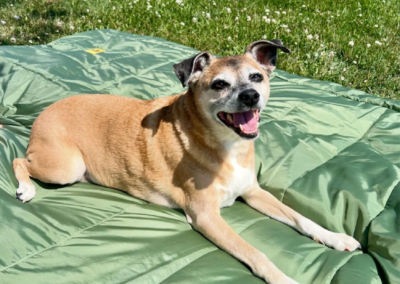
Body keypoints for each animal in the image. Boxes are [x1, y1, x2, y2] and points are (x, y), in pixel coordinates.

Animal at [13, 40, 362, 284]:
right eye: (219, 84)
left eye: (257, 76)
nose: (250, 95)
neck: (224, 145)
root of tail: (42, 112)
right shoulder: (206, 216)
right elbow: (255, 252)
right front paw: (284, 278)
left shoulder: (253, 192)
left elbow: (301, 219)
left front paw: (335, 237)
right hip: (65, 167)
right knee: (19, 159)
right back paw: (26, 189)